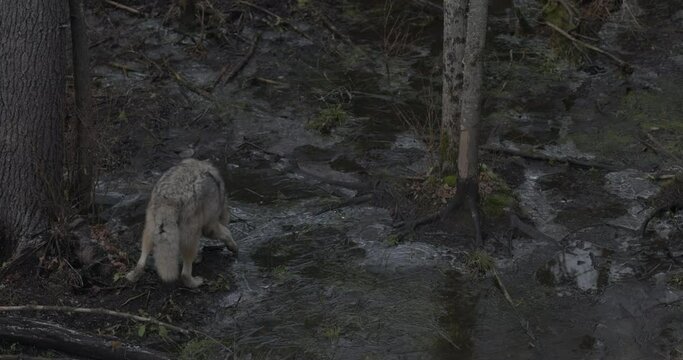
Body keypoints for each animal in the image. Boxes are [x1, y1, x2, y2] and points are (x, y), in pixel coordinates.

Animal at [125, 159, 238, 288]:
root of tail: (170, 197)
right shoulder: (210, 225)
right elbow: (227, 233)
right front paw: (233, 247)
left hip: (150, 229)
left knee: (142, 259)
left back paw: (133, 275)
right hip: (191, 236)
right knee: (184, 273)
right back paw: (194, 282)